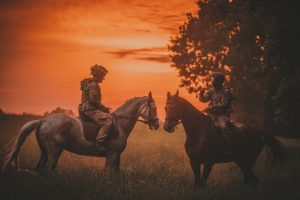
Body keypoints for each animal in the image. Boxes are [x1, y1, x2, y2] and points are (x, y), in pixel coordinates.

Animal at [2, 91, 159, 173]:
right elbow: (108, 174)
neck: (120, 125)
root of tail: (43, 120)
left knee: (40, 169)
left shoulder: (117, 156)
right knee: (47, 169)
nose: (157, 124)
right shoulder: (112, 155)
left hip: (46, 152)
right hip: (54, 152)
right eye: (154, 107)